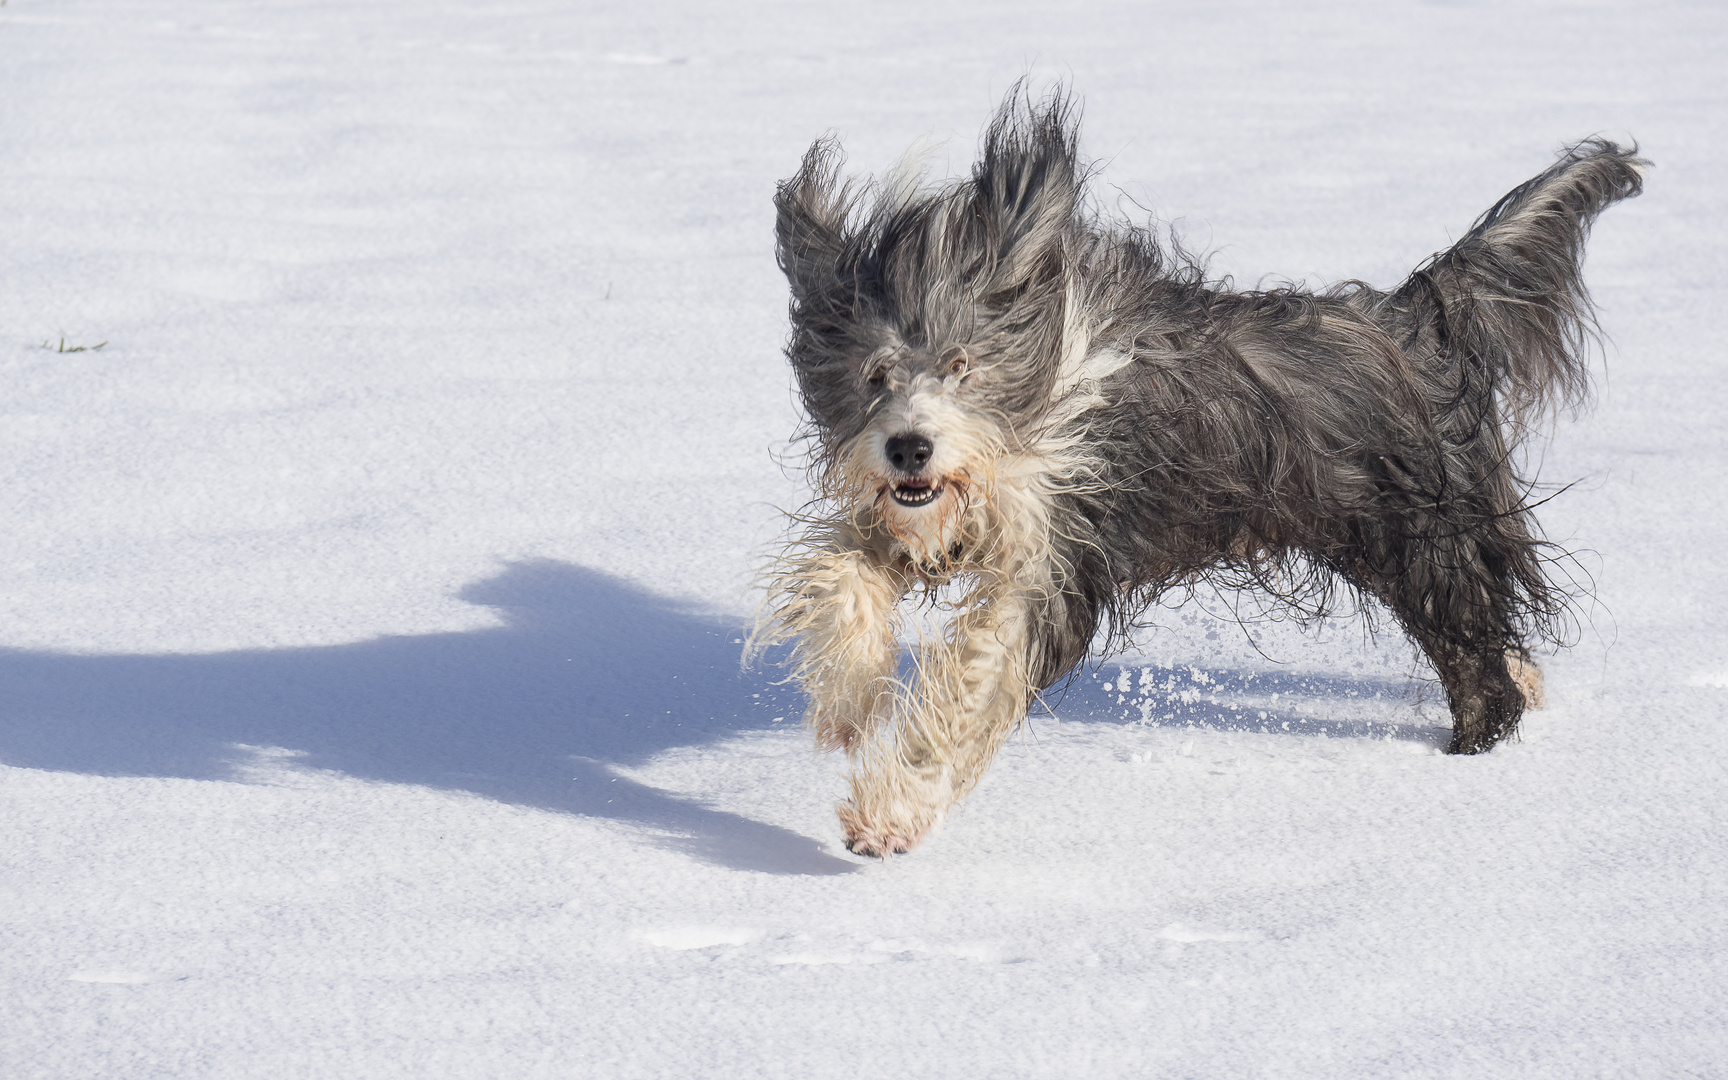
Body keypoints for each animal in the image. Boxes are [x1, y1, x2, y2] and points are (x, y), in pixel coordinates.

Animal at [756, 84, 1645, 853]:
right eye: (875, 375)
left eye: (961, 365)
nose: (909, 447)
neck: (1042, 398)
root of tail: (1410, 319)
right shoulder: (923, 518)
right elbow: (845, 571)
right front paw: (846, 701)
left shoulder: (1057, 551)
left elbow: (977, 680)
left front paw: (890, 813)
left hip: (1425, 540)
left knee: (1476, 661)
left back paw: (1472, 756)